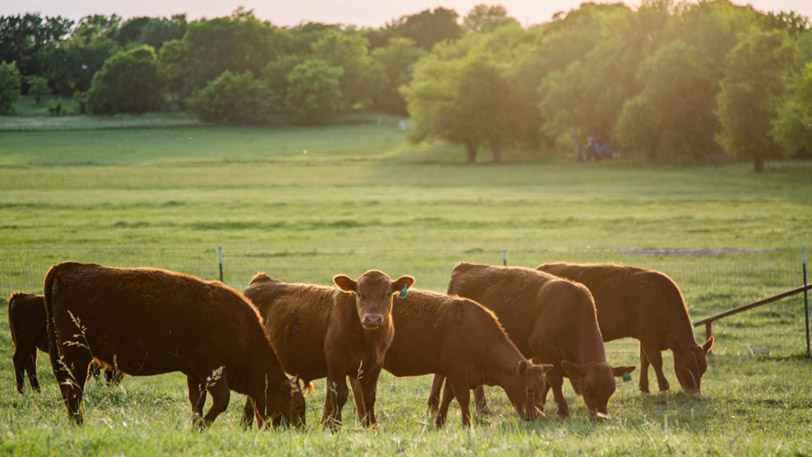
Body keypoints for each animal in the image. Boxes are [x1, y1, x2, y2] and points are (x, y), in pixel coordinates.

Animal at [43, 261, 305, 429]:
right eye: (298, 406)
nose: (299, 430)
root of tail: (66, 267)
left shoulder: (195, 373)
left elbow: (197, 402)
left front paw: (196, 426)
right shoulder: (210, 367)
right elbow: (221, 401)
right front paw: (203, 426)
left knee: (68, 388)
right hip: (77, 355)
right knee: (74, 389)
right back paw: (77, 423)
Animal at [243, 270, 415, 430]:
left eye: (387, 294)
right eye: (359, 294)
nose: (372, 319)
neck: (368, 340)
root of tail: (260, 280)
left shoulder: (374, 366)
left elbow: (368, 396)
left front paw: (371, 426)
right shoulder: (336, 363)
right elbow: (339, 396)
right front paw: (334, 428)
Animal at [383, 288, 552, 427]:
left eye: (542, 388)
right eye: (529, 389)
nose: (535, 416)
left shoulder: (455, 374)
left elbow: (447, 397)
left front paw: (439, 423)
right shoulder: (457, 371)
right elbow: (463, 398)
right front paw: (467, 424)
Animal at [436, 262, 635, 420]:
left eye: (611, 391)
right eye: (587, 389)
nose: (601, 418)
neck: (573, 311)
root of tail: (465, 267)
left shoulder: (541, 357)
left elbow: (544, 382)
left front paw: (540, 407)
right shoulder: (544, 349)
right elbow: (554, 381)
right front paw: (563, 411)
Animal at [536, 262, 714, 393]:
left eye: (704, 369)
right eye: (686, 367)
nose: (695, 392)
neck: (662, 298)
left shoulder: (645, 337)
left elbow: (645, 360)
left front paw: (644, 387)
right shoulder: (648, 333)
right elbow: (656, 360)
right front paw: (663, 386)